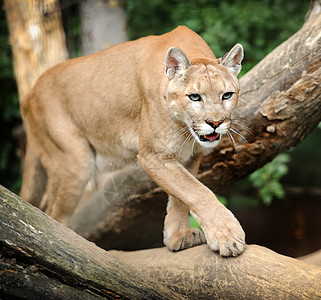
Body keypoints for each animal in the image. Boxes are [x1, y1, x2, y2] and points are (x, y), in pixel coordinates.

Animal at [20, 25, 245, 256]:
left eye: (227, 95)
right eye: (194, 97)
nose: (215, 122)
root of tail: (30, 94)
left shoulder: (190, 155)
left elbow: (182, 195)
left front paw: (178, 236)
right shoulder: (154, 156)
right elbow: (198, 192)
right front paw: (227, 236)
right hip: (75, 161)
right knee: (53, 213)